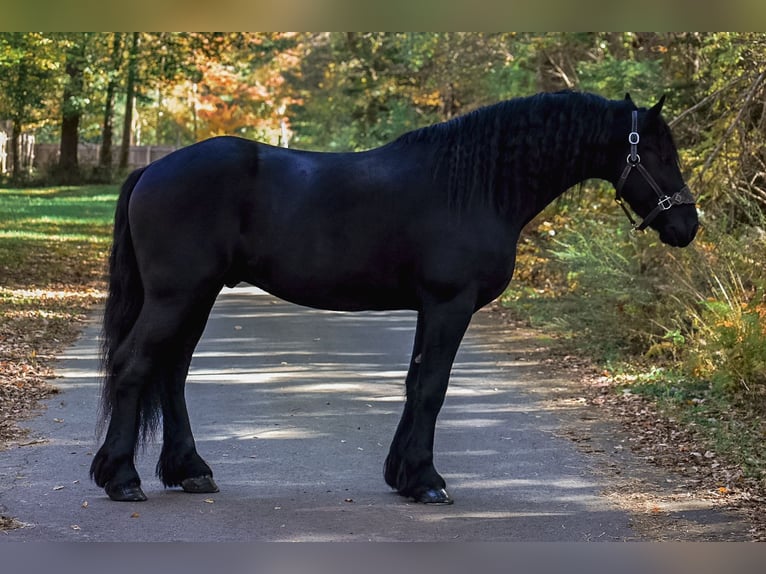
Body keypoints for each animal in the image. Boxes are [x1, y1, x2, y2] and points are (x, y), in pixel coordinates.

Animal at [90, 91, 698, 504]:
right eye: (660, 155)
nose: (687, 225)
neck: (473, 184)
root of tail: (152, 169)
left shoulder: (431, 308)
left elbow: (414, 383)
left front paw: (404, 476)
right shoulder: (450, 304)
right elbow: (432, 388)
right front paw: (427, 481)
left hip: (197, 295)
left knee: (171, 373)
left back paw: (190, 470)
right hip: (177, 295)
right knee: (134, 365)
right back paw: (121, 479)